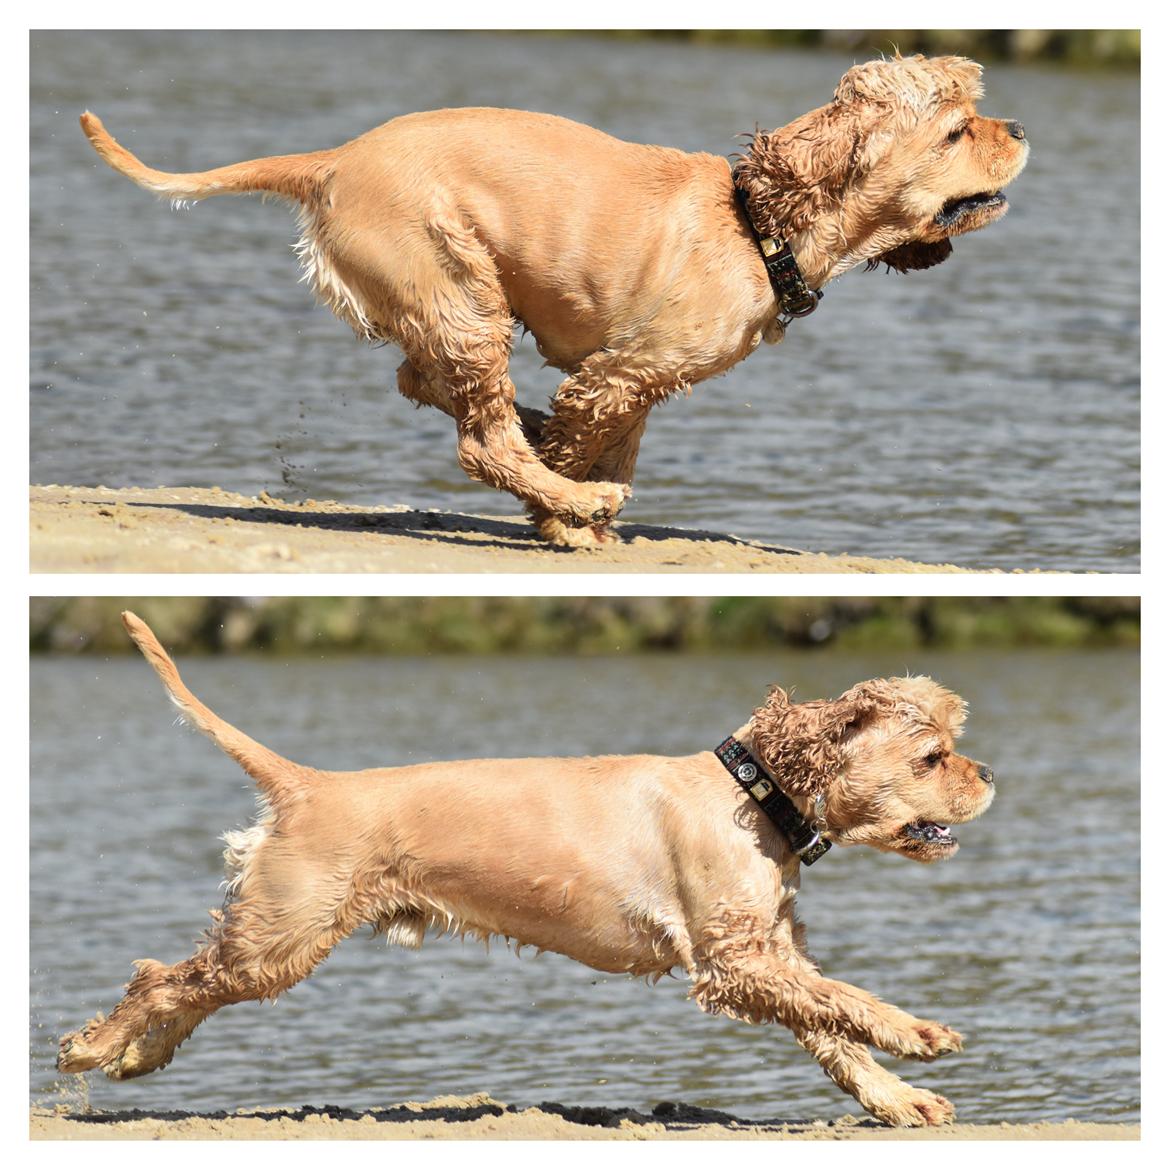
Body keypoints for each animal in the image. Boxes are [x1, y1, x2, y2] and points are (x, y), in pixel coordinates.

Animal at [57, 617, 996, 1127]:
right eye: (932, 756)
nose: (990, 773)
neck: (752, 792)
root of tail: (308, 784)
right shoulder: (734, 963)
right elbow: (850, 1004)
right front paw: (921, 1033)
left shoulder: (771, 955)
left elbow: (832, 1029)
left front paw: (899, 1100)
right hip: (284, 933)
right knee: (163, 976)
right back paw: (94, 1047)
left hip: (273, 937)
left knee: (185, 979)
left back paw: (137, 1059)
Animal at [82, 52, 1029, 545]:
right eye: (956, 131)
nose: (1020, 128)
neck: (759, 223)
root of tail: (332, 161)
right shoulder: (629, 367)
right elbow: (586, 444)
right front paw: (569, 517)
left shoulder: (636, 377)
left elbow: (609, 439)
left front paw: (578, 503)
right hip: (457, 289)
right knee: (479, 437)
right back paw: (566, 494)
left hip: (452, 302)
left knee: (430, 388)